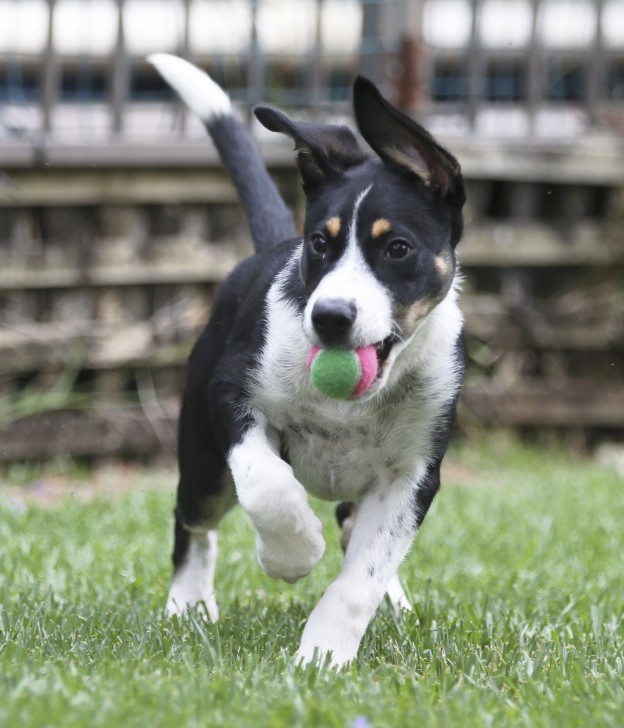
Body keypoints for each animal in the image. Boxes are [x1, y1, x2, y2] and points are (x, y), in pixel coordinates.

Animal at [149, 55, 466, 672]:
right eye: (320, 242)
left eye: (397, 249)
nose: (330, 317)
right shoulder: (233, 396)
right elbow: (267, 483)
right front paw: (292, 555)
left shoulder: (415, 472)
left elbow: (364, 573)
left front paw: (323, 655)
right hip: (202, 455)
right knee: (193, 519)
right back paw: (188, 605)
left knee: (353, 527)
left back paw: (394, 603)